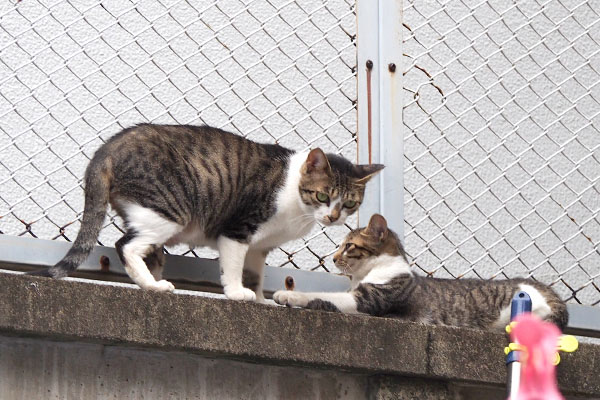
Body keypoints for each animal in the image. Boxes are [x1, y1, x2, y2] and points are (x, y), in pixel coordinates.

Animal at [32, 123, 382, 302]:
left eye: (349, 204)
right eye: (323, 195)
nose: (333, 217)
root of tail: (106, 150)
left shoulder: (260, 247)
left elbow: (254, 274)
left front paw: (259, 299)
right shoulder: (238, 229)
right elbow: (233, 267)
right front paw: (237, 293)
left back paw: (152, 282)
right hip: (169, 210)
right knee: (125, 246)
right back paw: (153, 286)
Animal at [274, 214, 568, 330]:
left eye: (348, 247)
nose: (333, 257)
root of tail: (551, 292)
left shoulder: (369, 299)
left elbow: (322, 297)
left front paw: (288, 296)